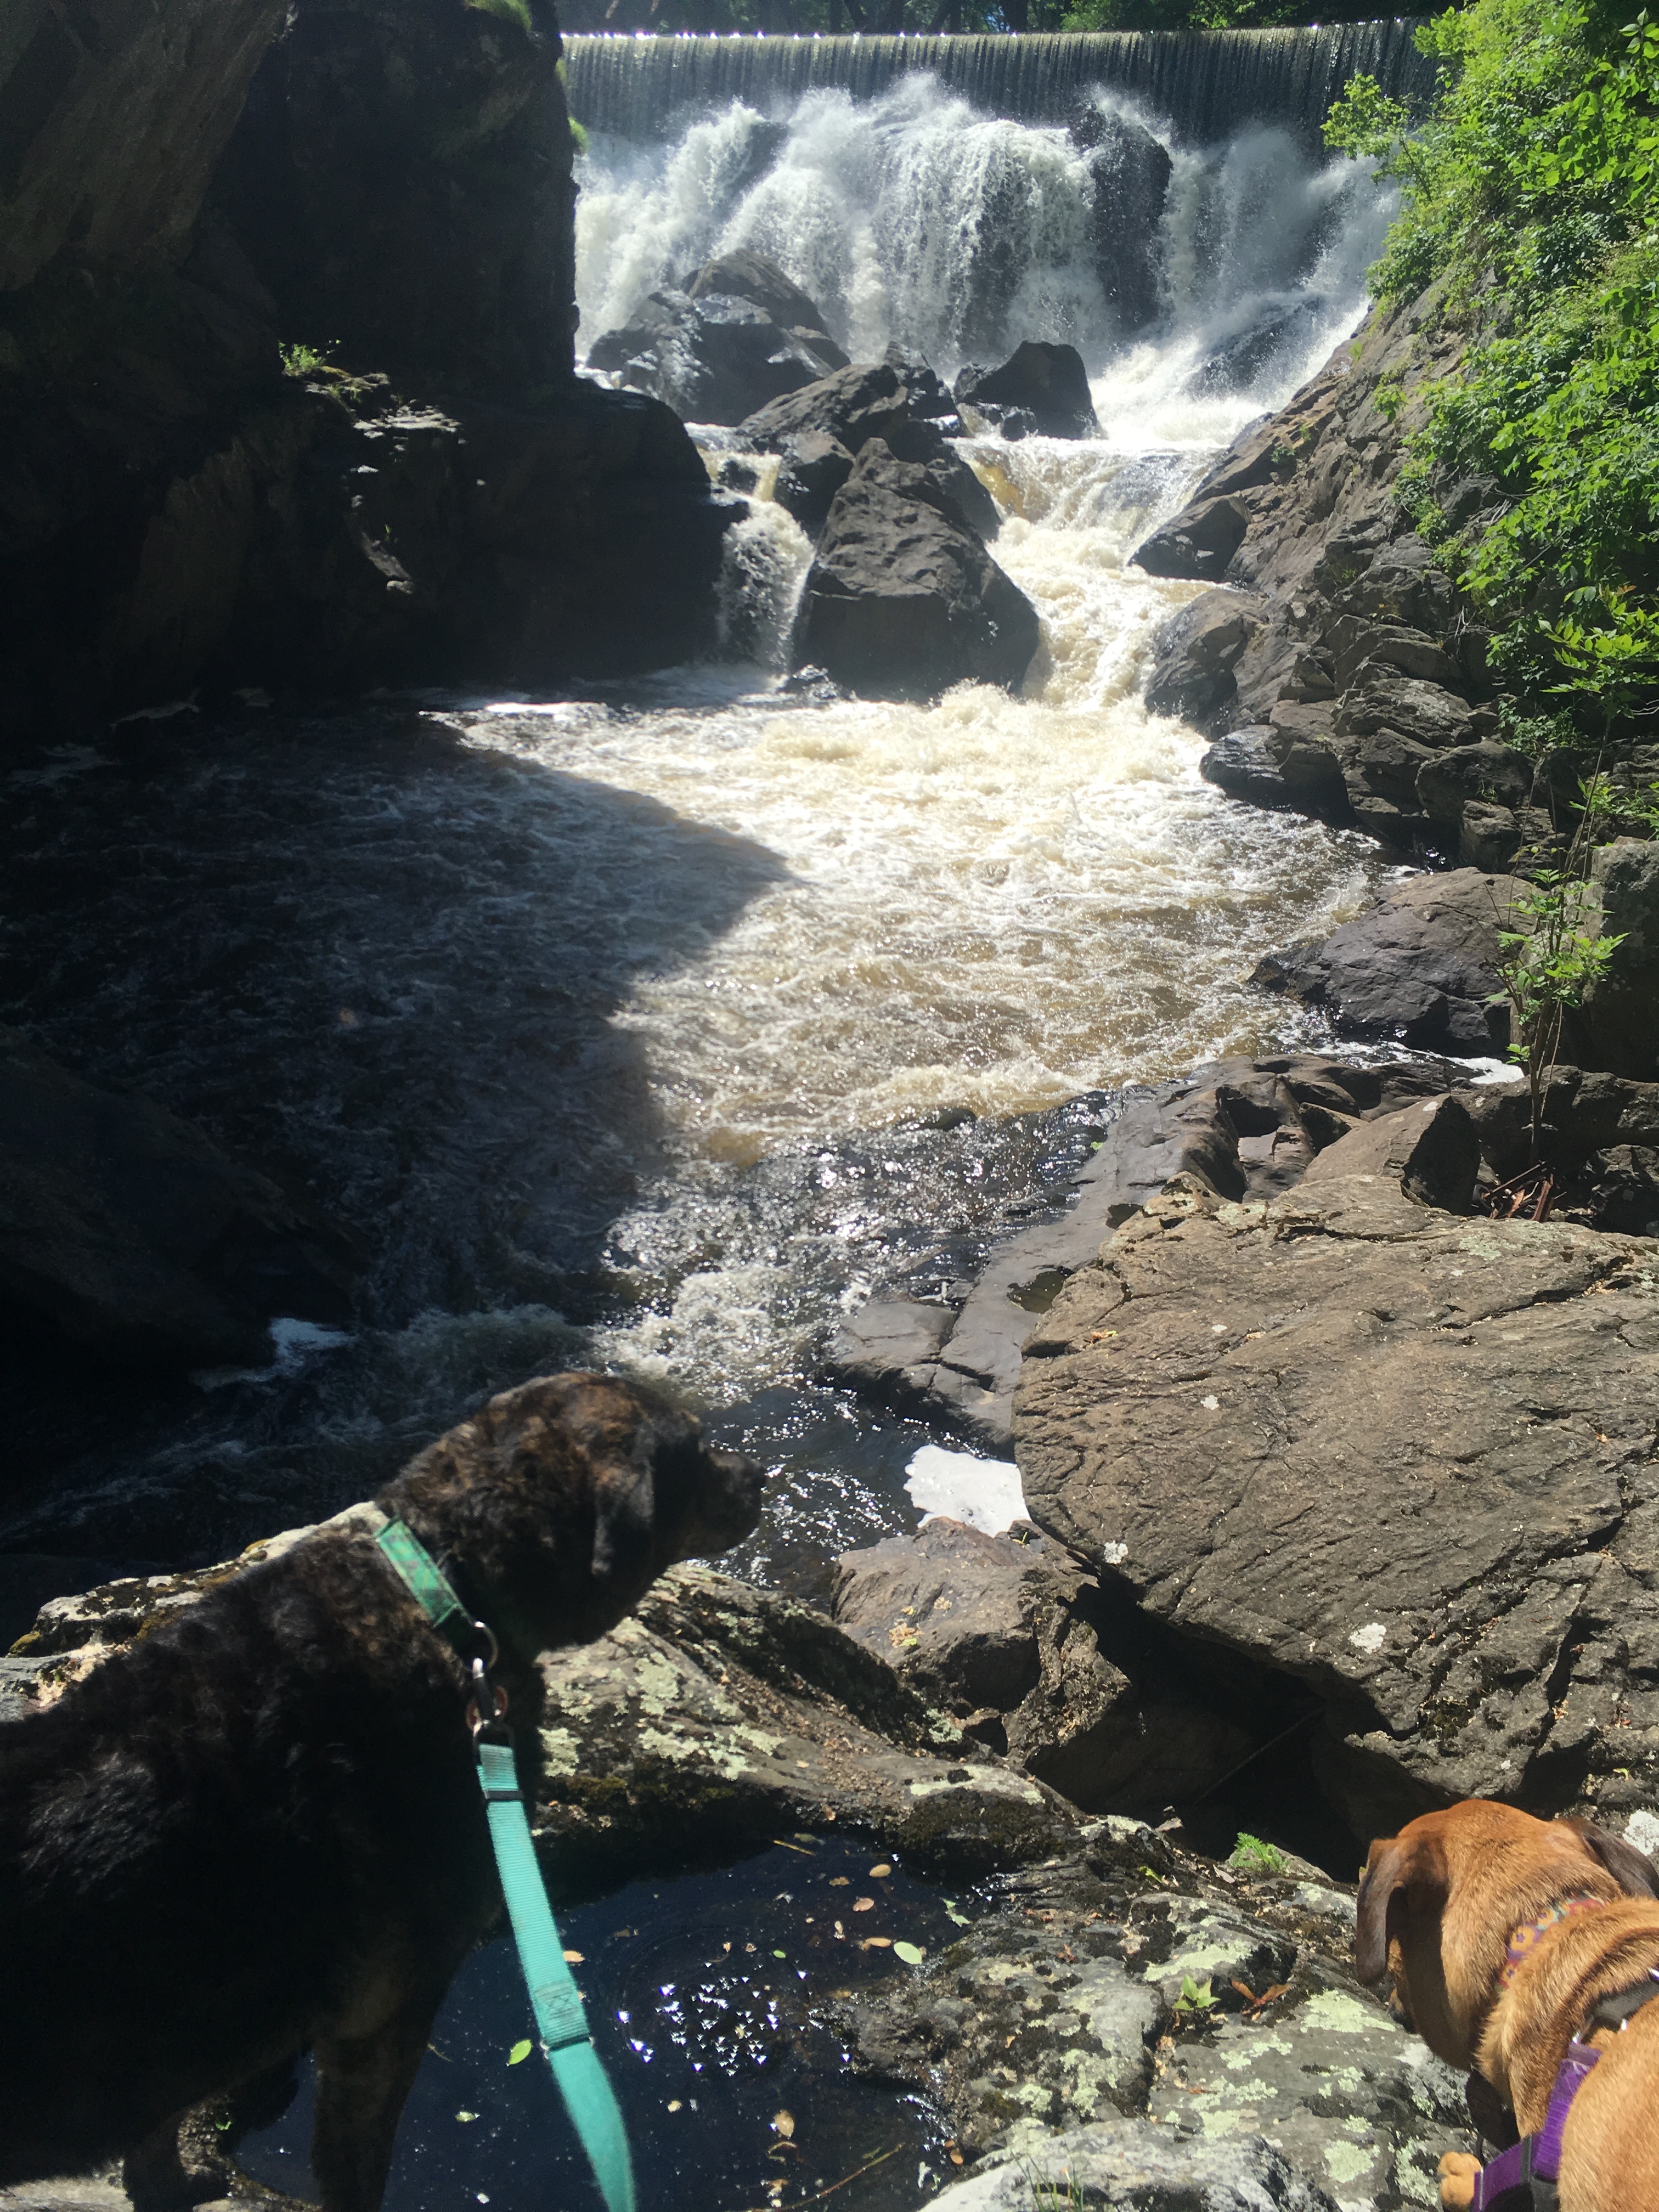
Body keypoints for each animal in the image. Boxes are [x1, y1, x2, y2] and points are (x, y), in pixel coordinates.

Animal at [0, 1371, 764, 2212]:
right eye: (699, 1447)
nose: (762, 1476)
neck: (450, 1592)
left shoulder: (197, 2041)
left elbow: (156, 2134)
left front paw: (170, 2187)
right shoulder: (384, 2016)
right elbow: (353, 2165)